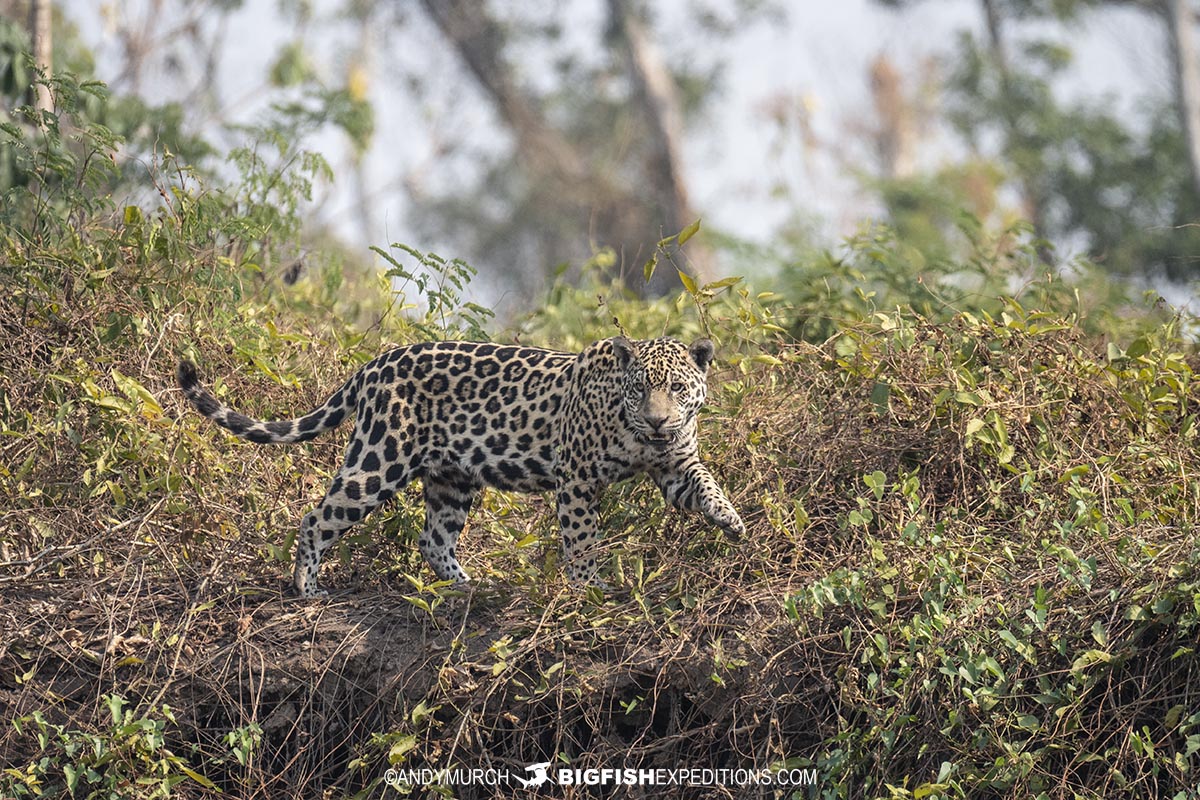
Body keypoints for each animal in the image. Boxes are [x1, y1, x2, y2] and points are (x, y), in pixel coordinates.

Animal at [176, 336, 744, 597]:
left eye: (677, 389)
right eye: (640, 389)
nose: (657, 420)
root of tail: (373, 364)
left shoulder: (675, 465)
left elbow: (705, 483)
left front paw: (732, 520)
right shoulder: (578, 478)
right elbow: (582, 538)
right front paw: (589, 588)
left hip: (452, 477)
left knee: (433, 538)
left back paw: (466, 585)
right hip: (380, 459)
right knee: (318, 517)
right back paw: (308, 589)